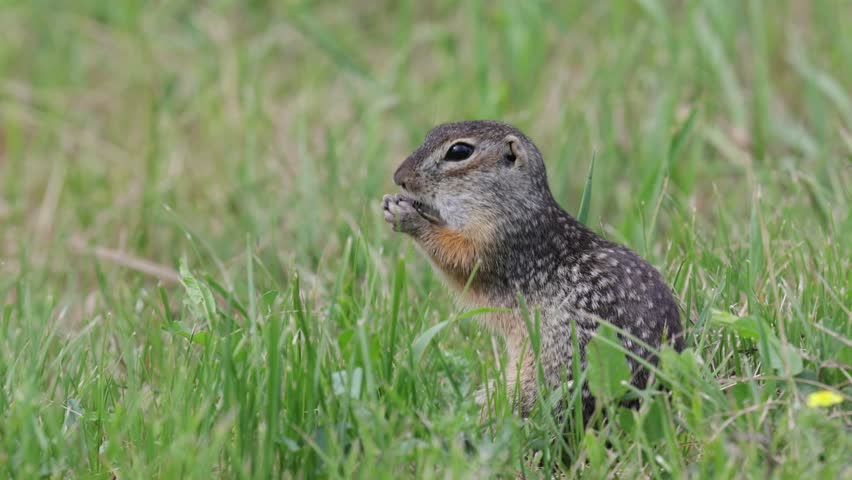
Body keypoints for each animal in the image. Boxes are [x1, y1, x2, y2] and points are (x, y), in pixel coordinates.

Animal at [382, 120, 684, 418]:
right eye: (430, 134)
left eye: (459, 152)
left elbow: (459, 259)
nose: (399, 177)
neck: (516, 206)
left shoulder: (501, 242)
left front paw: (408, 217)